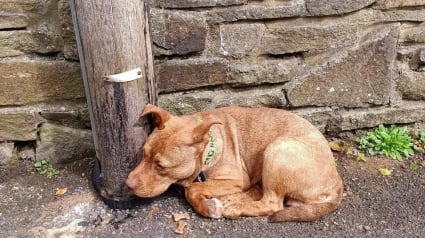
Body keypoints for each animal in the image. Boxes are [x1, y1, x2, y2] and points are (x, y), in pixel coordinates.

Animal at [125, 105, 342, 222]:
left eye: (160, 166)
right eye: (143, 154)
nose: (127, 184)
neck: (209, 149)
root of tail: (337, 185)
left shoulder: (237, 178)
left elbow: (192, 189)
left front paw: (206, 207)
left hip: (278, 149)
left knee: (272, 204)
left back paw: (236, 206)